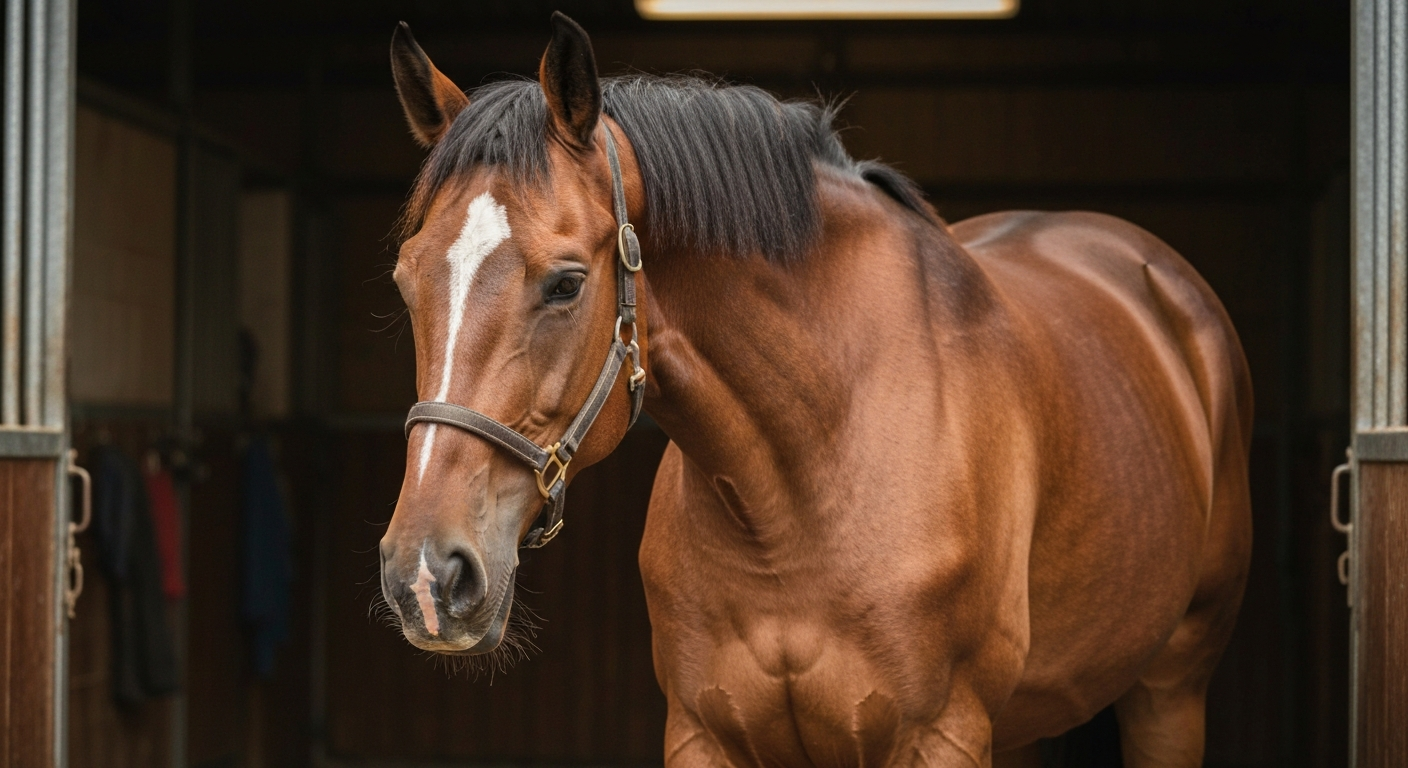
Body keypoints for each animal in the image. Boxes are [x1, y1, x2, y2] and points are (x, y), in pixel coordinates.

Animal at [377, 12, 1253, 767]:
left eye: (565, 284)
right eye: (406, 281)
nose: (426, 576)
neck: (799, 487)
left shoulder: (940, 735)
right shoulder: (703, 735)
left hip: (1171, 689)